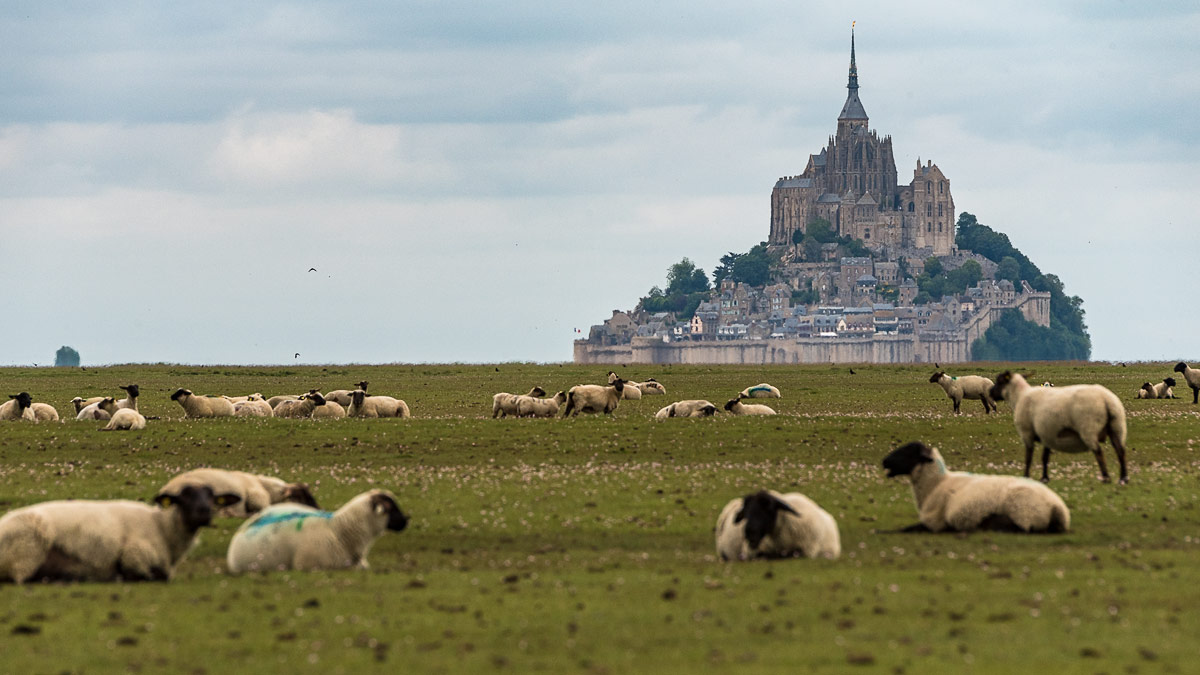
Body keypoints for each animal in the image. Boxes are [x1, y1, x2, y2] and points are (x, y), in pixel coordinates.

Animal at [0, 484, 239, 583]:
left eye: (212, 497)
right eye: (184, 497)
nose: (204, 511)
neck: (163, 528)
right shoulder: (134, 557)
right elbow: (152, 576)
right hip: (27, 554)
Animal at [881, 441, 1070, 534]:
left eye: (908, 452)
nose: (884, 461)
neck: (935, 485)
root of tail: (1057, 508)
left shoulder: (934, 524)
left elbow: (904, 529)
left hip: (1023, 513)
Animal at [990, 371, 1129, 484]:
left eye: (999, 380)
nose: (990, 392)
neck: (1020, 396)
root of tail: (1107, 400)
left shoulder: (1027, 433)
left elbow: (1028, 458)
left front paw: (1026, 477)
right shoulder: (1046, 433)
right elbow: (1045, 457)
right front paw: (1044, 478)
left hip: (1089, 428)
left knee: (1099, 452)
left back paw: (1106, 478)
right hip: (1117, 427)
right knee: (1120, 451)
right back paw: (1123, 478)